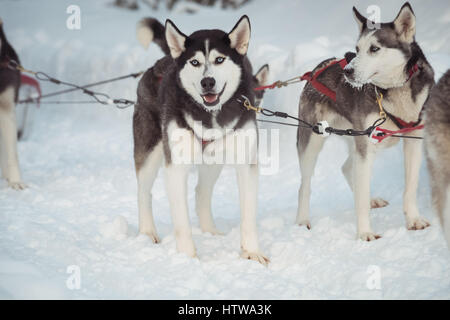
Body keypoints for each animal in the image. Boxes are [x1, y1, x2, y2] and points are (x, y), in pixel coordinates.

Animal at [132, 15, 268, 264]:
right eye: (194, 62)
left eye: (219, 59)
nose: (208, 82)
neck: (210, 115)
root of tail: (161, 62)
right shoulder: (175, 167)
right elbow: (182, 223)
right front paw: (187, 258)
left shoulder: (246, 163)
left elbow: (248, 216)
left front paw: (252, 252)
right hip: (150, 151)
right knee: (144, 192)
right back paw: (147, 232)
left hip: (213, 161)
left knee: (202, 192)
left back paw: (210, 231)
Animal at [298, 2, 434, 240]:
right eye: (358, 48)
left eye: (375, 48)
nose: (348, 71)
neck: (393, 91)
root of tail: (318, 69)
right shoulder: (366, 146)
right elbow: (360, 198)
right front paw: (365, 233)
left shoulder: (413, 140)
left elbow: (410, 187)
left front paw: (414, 220)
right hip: (312, 143)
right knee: (305, 185)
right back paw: (301, 221)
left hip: (360, 138)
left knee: (347, 168)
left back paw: (371, 199)